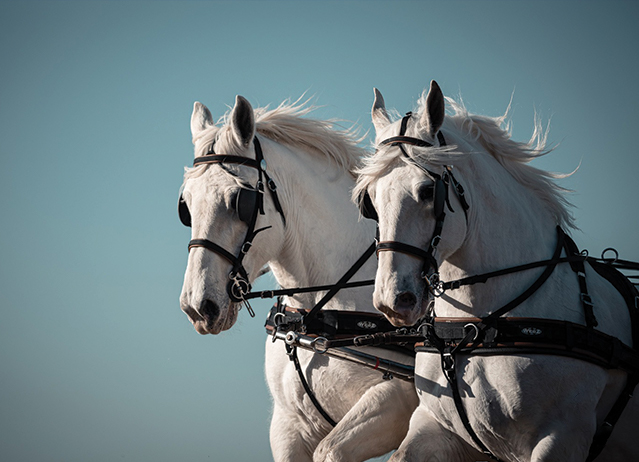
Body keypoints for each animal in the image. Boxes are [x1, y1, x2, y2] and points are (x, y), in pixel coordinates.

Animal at [180, 95, 420, 462]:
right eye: (186, 205)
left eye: (239, 201)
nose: (197, 305)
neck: (319, 315)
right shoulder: (289, 425)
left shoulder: (397, 399)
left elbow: (330, 450)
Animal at [356, 81, 639, 460]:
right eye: (369, 200)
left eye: (429, 190)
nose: (393, 300)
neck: (479, 325)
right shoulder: (436, 424)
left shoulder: (562, 436)